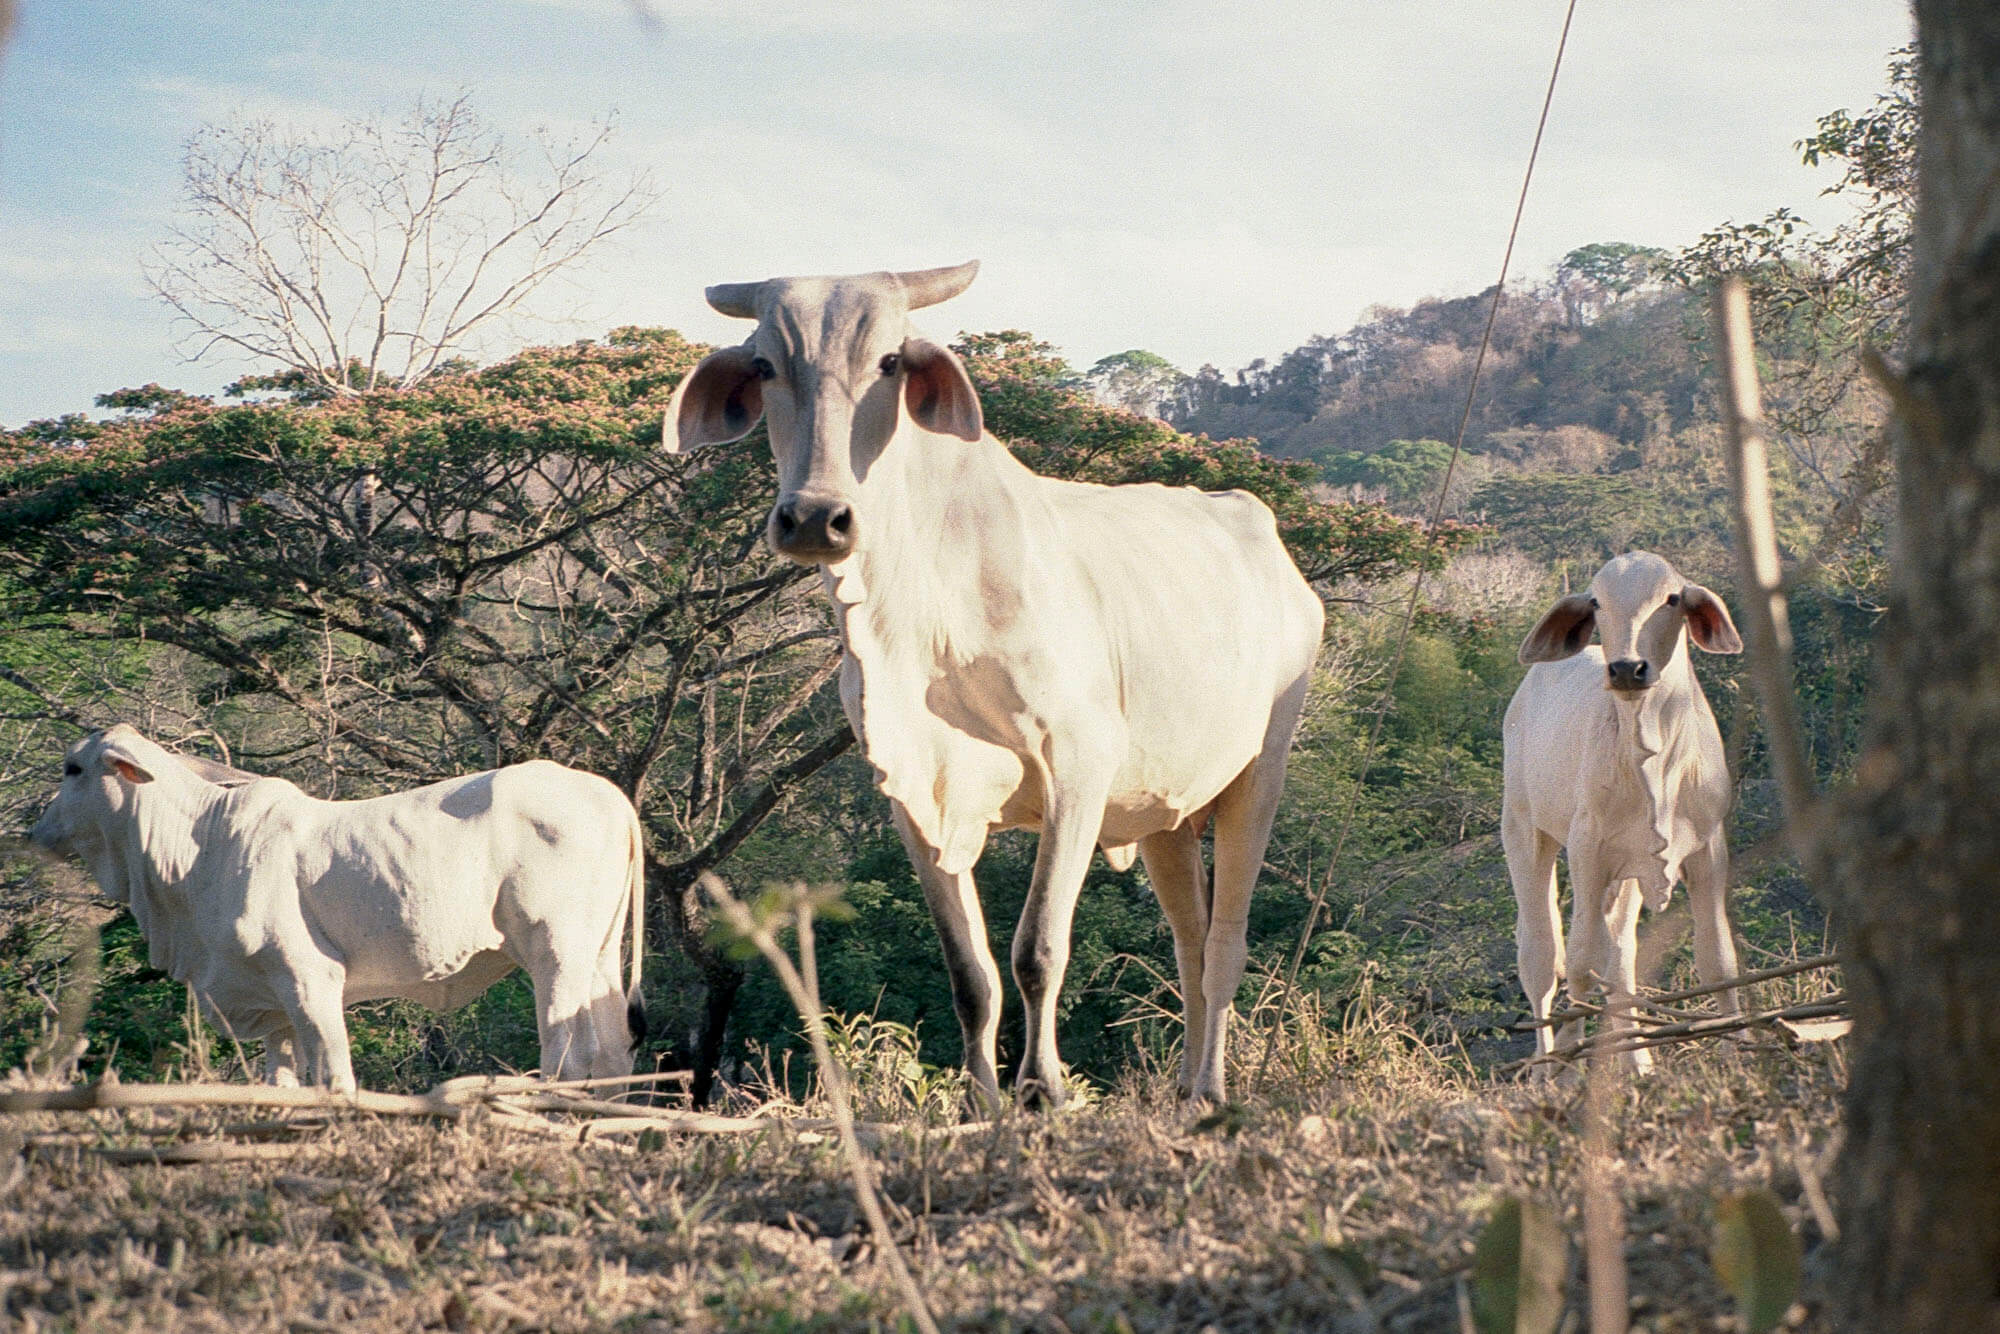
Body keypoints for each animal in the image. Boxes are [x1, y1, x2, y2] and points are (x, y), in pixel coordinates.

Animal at [29, 732, 648, 1096]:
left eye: (73, 768)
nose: (37, 830)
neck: (199, 846)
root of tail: (609, 795)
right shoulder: (271, 1007)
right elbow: (283, 1082)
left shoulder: (310, 980)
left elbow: (335, 1077)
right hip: (597, 957)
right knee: (614, 1051)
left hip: (556, 952)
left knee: (568, 1050)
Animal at [660, 260, 1328, 1104]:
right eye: (764, 366)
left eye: (889, 360)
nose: (815, 518)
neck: (924, 616)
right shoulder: (911, 794)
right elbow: (970, 971)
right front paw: (981, 1097)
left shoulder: (1078, 767)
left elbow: (1038, 948)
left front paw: (1043, 1089)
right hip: (1166, 816)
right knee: (1189, 938)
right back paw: (1182, 1093)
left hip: (1260, 773)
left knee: (1225, 946)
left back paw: (1209, 1089)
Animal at [1504, 552, 1744, 1072]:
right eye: (1597, 602)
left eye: (1672, 598)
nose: (1627, 669)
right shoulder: (1587, 850)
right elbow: (1579, 963)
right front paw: (1571, 1070)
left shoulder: (1708, 848)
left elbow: (1718, 960)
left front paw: (1743, 1052)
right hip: (1523, 830)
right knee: (1541, 959)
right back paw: (1547, 1069)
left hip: (1627, 871)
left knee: (1621, 955)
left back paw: (1635, 1061)